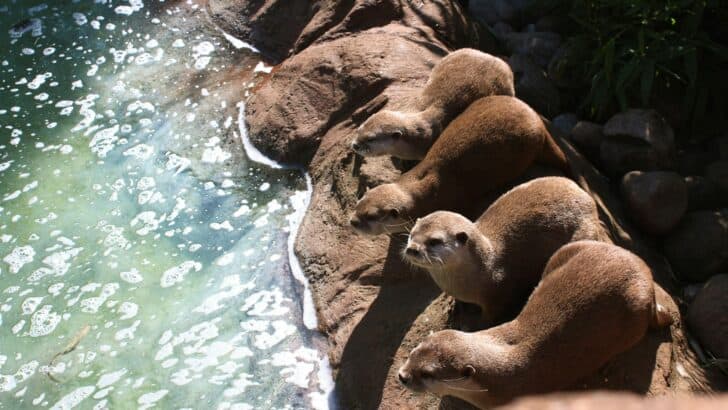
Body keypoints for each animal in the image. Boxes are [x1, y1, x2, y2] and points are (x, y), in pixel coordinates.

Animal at [398, 240, 673, 409]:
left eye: (427, 374)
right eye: (412, 352)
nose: (402, 376)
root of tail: (645, 273)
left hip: (634, 313)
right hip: (570, 249)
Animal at [403, 177, 610, 324]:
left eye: (434, 241)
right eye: (411, 235)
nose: (412, 249)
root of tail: (591, 202)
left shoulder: (497, 292)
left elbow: (491, 315)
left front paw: (478, 324)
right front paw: (454, 307)